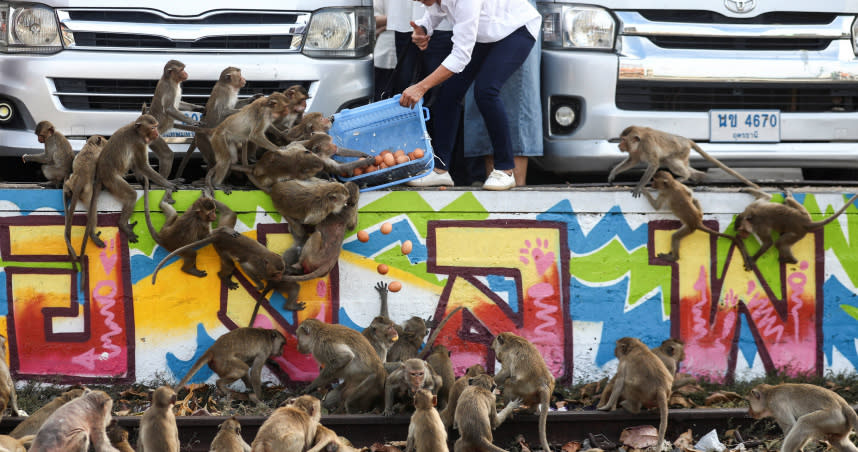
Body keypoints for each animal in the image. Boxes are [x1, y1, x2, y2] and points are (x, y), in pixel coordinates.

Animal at [62, 136, 105, 266]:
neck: (90, 145)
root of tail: (79, 181)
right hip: (87, 192)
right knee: (93, 207)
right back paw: (92, 234)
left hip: (70, 182)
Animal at [83, 115, 177, 258]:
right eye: (153, 127)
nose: (157, 133)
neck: (136, 131)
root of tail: (100, 173)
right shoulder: (139, 143)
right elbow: (143, 165)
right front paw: (169, 184)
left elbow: (138, 164)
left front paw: (143, 180)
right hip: (112, 180)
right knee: (131, 195)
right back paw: (122, 225)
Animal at [604, 127, 760, 198]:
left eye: (623, 139)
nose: (619, 145)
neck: (640, 143)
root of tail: (687, 140)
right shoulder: (636, 151)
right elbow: (632, 161)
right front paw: (613, 173)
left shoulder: (647, 145)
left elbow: (653, 164)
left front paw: (639, 187)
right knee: (671, 162)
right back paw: (699, 177)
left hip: (681, 150)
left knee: (671, 161)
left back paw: (685, 176)